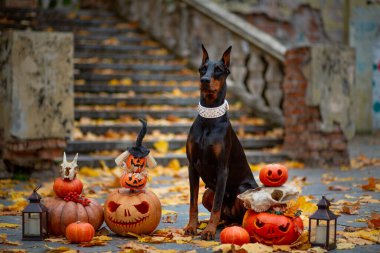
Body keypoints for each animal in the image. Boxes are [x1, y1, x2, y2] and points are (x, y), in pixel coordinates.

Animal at [184, 44, 258, 240]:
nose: (204, 80)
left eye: (218, 70)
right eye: (202, 68)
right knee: (222, 213)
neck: (209, 118)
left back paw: (231, 226)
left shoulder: (222, 168)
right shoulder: (192, 167)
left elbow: (216, 206)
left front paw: (209, 232)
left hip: (242, 189)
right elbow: (192, 203)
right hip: (208, 191)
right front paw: (191, 227)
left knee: (241, 216)